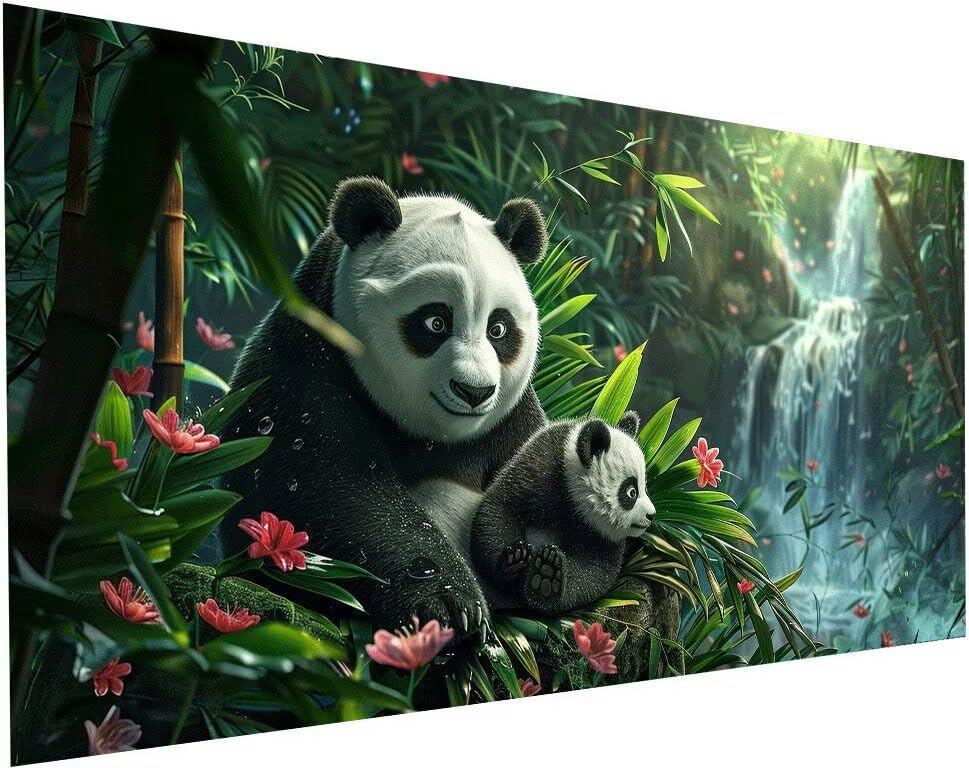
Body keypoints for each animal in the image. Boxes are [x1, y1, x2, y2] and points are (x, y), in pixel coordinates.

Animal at [220, 177, 549, 638]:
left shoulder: (515, 421)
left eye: (498, 329)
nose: (474, 391)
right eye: (435, 322)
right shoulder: (300, 371)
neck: (438, 437)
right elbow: (323, 488)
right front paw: (451, 603)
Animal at [470, 412, 657, 614]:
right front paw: (516, 558)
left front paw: (547, 575)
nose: (651, 515)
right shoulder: (539, 469)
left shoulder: (602, 535)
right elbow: (501, 506)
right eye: (631, 492)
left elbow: (594, 572)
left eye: (646, 487)